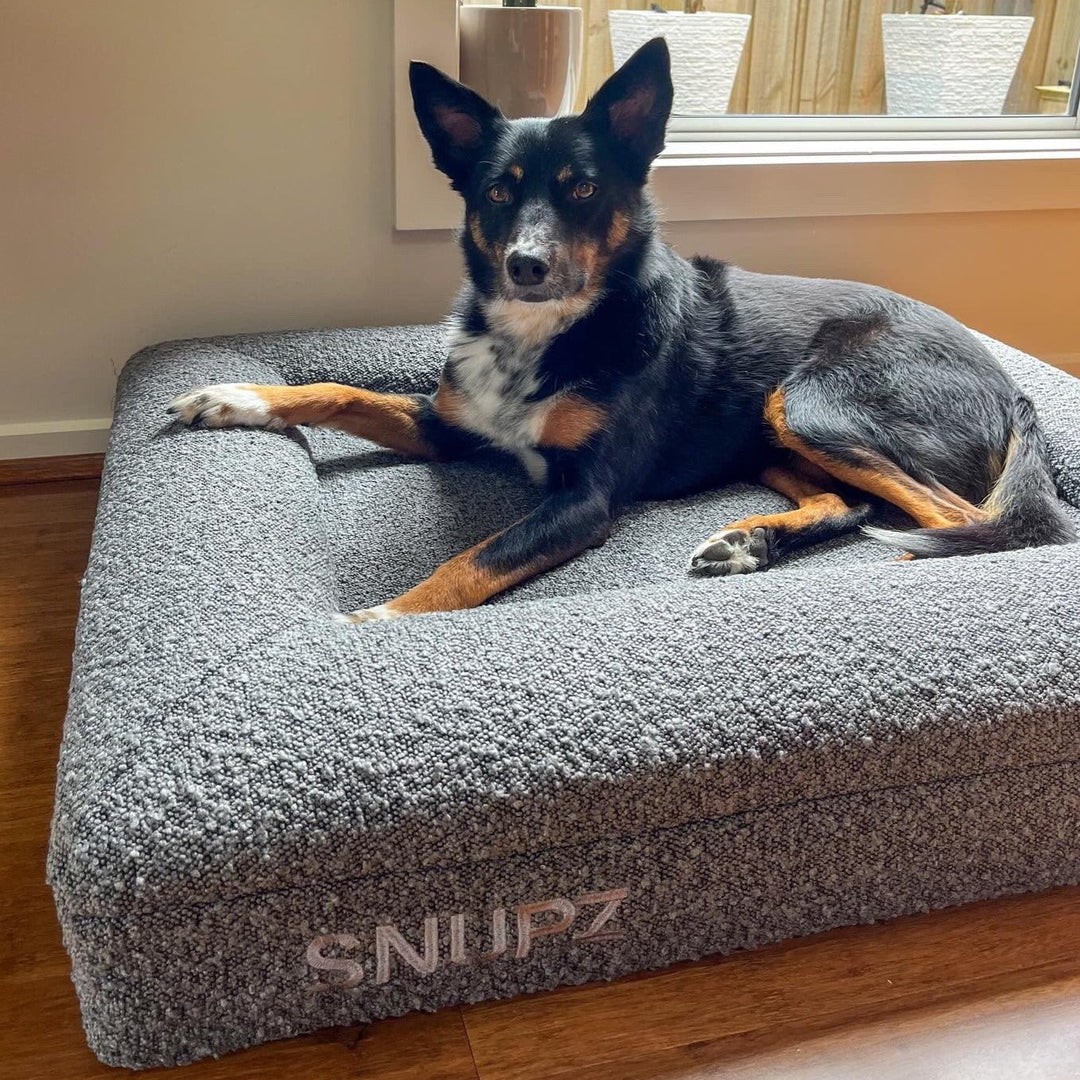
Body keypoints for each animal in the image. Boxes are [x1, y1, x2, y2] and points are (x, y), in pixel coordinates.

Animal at [166, 39, 1071, 626]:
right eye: (498, 192)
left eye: (584, 188)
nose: (527, 265)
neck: (548, 333)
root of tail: (1007, 383)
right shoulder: (451, 426)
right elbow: (342, 391)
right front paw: (235, 398)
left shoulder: (584, 499)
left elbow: (467, 562)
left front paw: (373, 625)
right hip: (773, 433)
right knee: (851, 501)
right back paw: (748, 543)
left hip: (816, 402)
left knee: (981, 521)